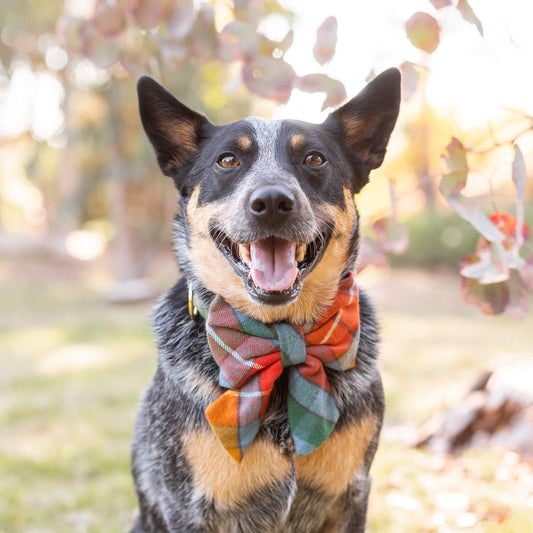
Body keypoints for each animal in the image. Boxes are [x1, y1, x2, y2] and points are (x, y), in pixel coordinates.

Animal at [131, 67, 400, 532]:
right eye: (227, 160)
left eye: (314, 159)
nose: (272, 201)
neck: (278, 336)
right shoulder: (187, 508)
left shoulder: (351, 497)